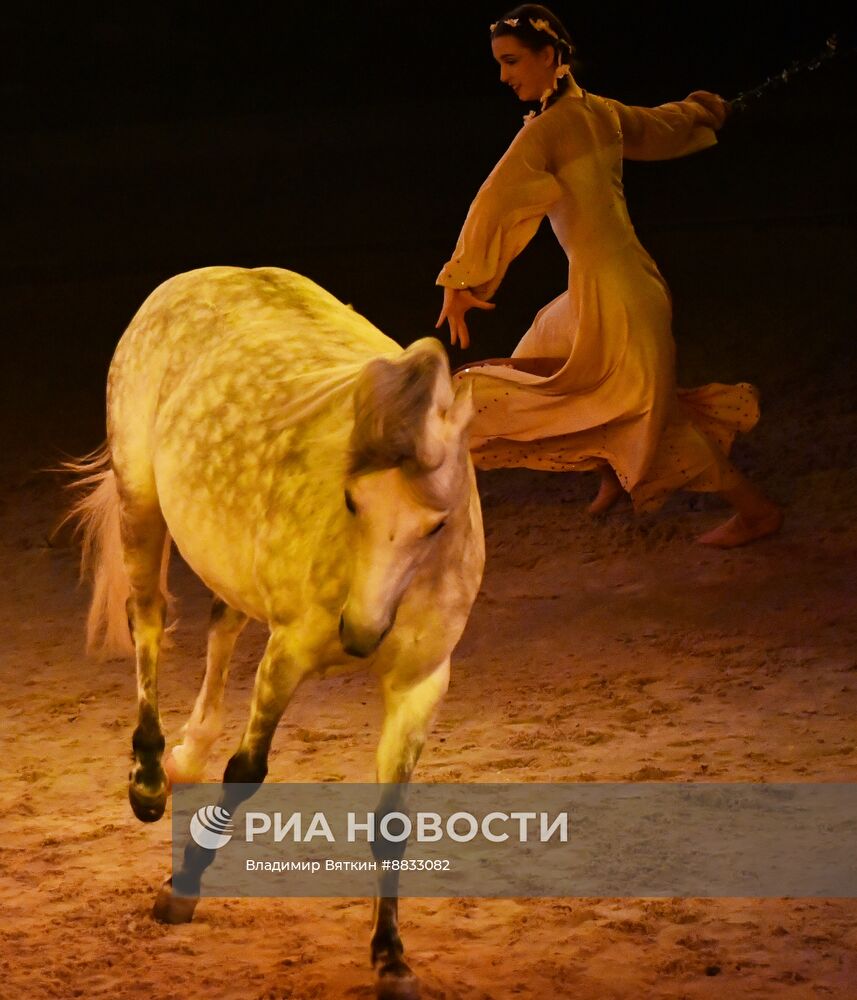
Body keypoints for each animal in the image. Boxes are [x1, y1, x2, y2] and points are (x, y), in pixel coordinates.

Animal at [67, 266, 482, 1000]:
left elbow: (393, 822)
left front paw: (391, 957)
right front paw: (180, 889)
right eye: (351, 499)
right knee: (148, 621)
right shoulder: (287, 655)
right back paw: (150, 777)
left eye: (438, 523)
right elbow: (246, 772)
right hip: (140, 501)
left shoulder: (420, 683)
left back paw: (188, 752)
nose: (361, 635)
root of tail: (192, 279)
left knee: (222, 621)